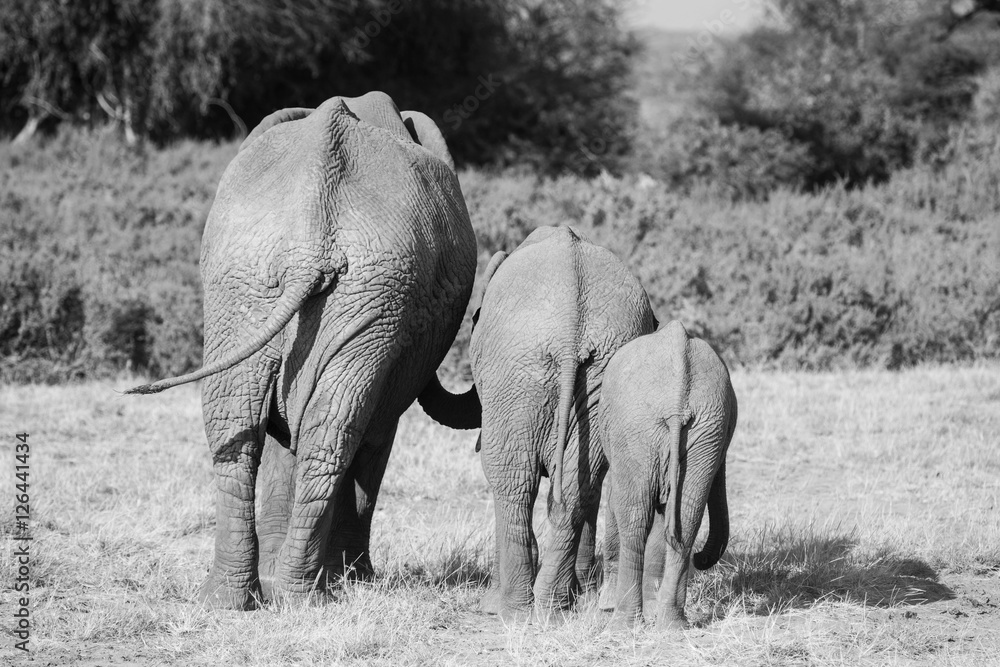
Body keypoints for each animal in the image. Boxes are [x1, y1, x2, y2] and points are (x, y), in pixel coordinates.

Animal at [127, 92, 478, 612]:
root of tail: (313, 237)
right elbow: (367, 436)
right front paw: (350, 580)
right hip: (284, 280)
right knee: (307, 427)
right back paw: (277, 594)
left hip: (318, 289)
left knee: (267, 424)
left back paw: (259, 596)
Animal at [470, 227, 660, 620]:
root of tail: (572, 330)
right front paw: (581, 594)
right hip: (599, 372)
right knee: (576, 487)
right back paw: (550, 605)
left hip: (516, 371)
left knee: (511, 480)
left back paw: (511, 609)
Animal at [596, 320, 740, 628]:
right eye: (731, 432)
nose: (701, 559)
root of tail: (677, 402)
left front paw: (609, 607)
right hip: (705, 427)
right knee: (686, 517)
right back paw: (672, 626)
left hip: (637, 429)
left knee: (635, 517)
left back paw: (622, 625)